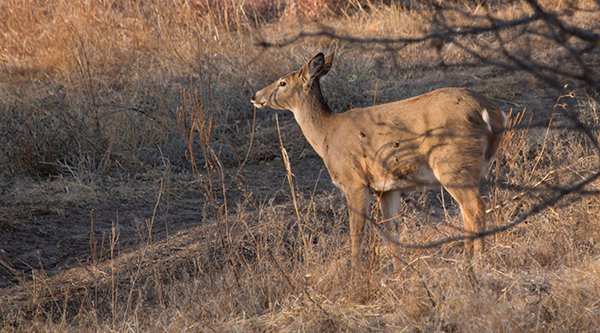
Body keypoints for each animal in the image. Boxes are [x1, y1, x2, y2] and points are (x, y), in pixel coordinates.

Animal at [250, 52, 506, 270]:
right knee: (467, 211)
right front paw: (400, 274)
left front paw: (355, 278)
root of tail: (493, 112)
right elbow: (392, 229)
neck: (327, 135)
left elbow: (356, 233)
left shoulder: (354, 181)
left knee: (476, 208)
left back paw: (478, 263)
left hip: (452, 163)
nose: (255, 96)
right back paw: (466, 260)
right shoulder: (387, 188)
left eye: (282, 82)